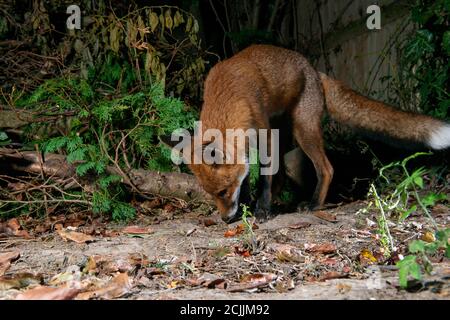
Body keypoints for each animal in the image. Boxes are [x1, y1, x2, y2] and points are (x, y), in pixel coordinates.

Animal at [162, 45, 450, 224]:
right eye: (211, 194)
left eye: (222, 192)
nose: (225, 219)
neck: (229, 95)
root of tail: (314, 71)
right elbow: (248, 179)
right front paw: (249, 206)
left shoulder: (264, 135)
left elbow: (263, 178)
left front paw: (262, 209)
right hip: (287, 140)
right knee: (287, 174)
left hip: (303, 131)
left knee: (326, 168)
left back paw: (312, 204)